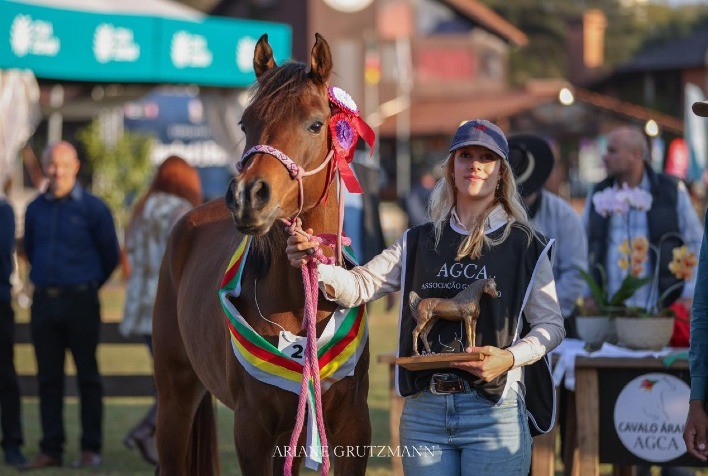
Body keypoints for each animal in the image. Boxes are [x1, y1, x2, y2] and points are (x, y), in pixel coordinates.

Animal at [151, 33, 371, 475]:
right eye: (245, 123)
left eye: (315, 123)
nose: (246, 196)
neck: (302, 303)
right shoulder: (252, 430)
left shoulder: (353, 427)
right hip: (175, 397)